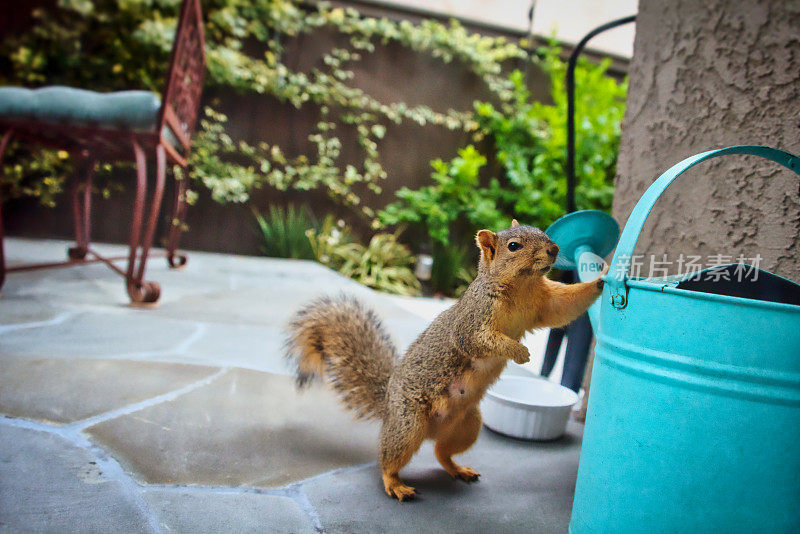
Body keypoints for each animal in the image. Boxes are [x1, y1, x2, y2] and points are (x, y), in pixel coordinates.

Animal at [284, 219, 604, 502]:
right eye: (514, 246)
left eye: (541, 231)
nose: (553, 249)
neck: (522, 286)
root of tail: (387, 402)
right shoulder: (473, 320)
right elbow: (479, 340)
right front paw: (518, 351)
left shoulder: (544, 304)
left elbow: (565, 307)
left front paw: (601, 281)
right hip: (408, 424)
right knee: (388, 459)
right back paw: (395, 484)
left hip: (467, 426)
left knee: (441, 452)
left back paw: (458, 469)